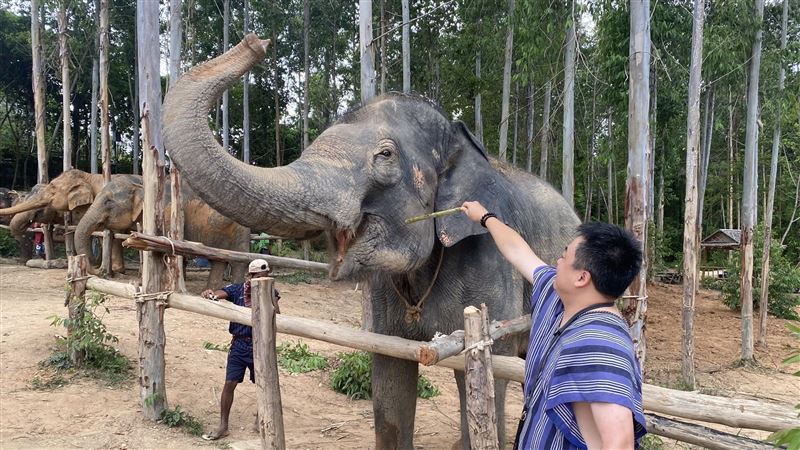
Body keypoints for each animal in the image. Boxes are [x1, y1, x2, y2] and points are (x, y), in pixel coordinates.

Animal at [73, 174, 249, 289]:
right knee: (220, 260)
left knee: (238, 261)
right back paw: (210, 293)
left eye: (108, 201)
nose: (99, 271)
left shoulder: (166, 213)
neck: (140, 182)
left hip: (238, 230)